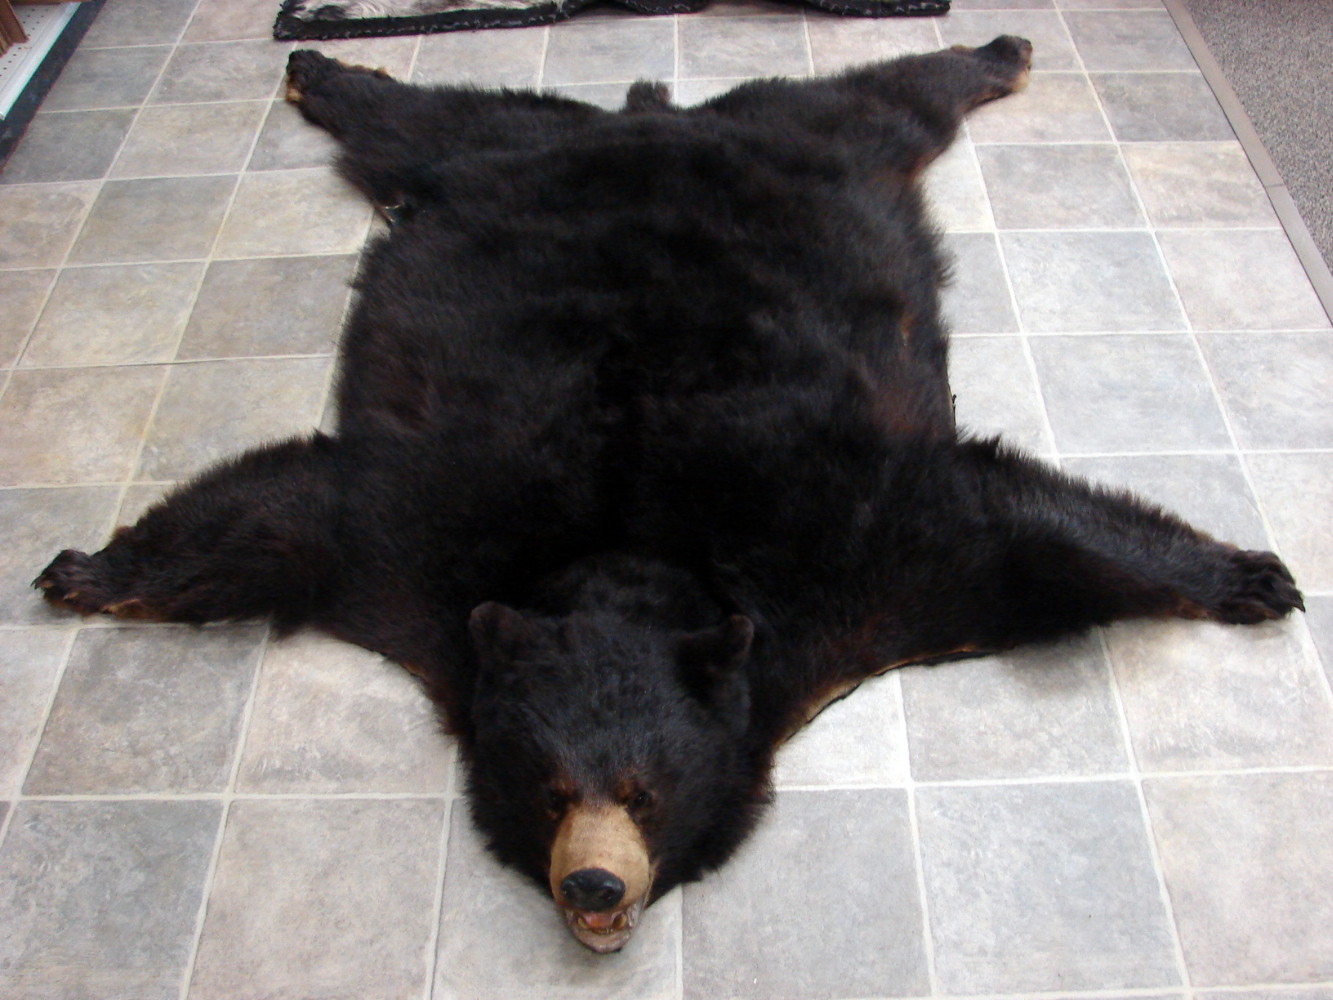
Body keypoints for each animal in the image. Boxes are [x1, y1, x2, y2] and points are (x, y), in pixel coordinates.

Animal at [34, 39, 1303, 954]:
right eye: (550, 789)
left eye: (642, 792)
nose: (594, 884)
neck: (627, 558)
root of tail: (648, 115)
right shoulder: (414, 545)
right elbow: (279, 517)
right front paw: (87, 568)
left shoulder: (853, 559)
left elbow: (1021, 530)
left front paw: (1249, 573)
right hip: (504, 162)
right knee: (425, 124)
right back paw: (322, 65)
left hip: (785, 144)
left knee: (876, 104)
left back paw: (999, 48)